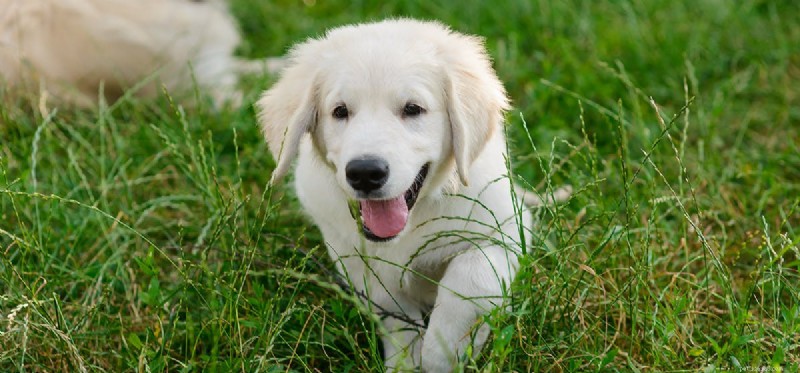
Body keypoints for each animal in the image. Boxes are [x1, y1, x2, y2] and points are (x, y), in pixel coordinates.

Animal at [258, 18, 568, 370]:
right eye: (340, 111)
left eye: (412, 109)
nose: (365, 172)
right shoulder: (353, 256)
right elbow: (394, 312)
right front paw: (405, 360)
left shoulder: (503, 232)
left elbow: (468, 282)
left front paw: (441, 354)